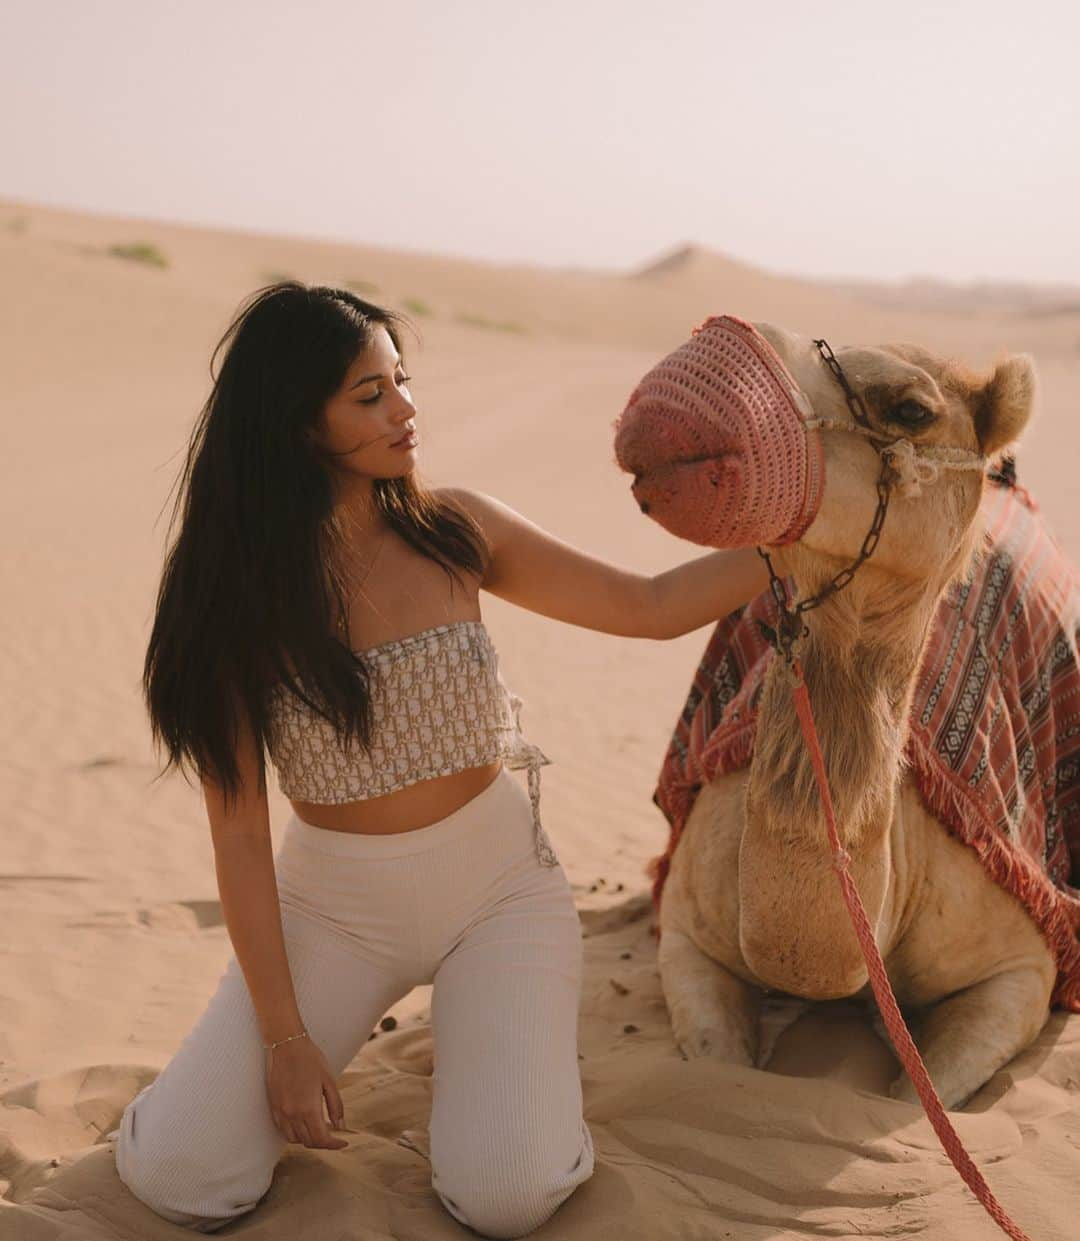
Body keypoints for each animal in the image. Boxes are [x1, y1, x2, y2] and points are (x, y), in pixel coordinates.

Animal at [618, 315, 1080, 1111]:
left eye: (912, 409)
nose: (668, 408)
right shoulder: (684, 932)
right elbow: (718, 1066)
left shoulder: (1021, 969)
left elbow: (913, 1101)